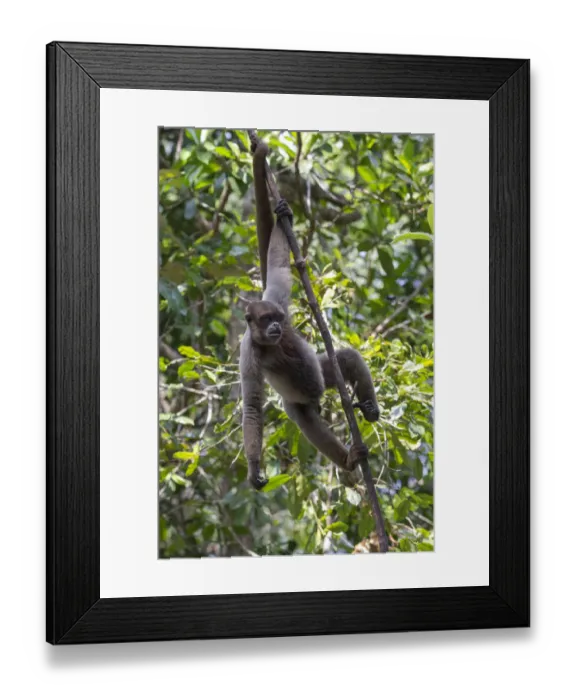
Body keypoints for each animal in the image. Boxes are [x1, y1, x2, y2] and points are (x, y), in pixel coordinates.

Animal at [240, 138, 380, 490]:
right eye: (265, 321)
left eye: (277, 318)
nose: (276, 327)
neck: (271, 343)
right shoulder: (248, 349)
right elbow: (252, 407)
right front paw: (253, 466)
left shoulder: (276, 297)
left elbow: (277, 263)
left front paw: (282, 214)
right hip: (300, 401)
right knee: (304, 418)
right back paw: (349, 459)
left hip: (322, 374)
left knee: (344, 359)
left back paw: (370, 409)